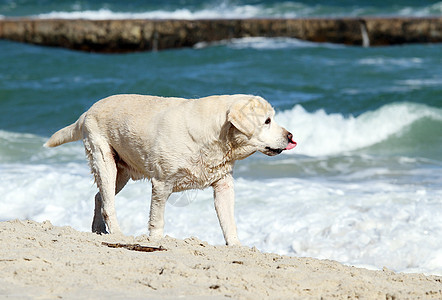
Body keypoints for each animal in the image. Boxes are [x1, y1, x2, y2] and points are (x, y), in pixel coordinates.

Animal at [45, 95, 296, 245]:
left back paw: (98, 229)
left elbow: (229, 220)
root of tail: (86, 111)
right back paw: (116, 233)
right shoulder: (162, 184)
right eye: (267, 121)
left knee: (100, 197)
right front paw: (155, 241)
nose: (291, 136)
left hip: (121, 170)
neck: (215, 136)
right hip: (103, 157)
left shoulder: (224, 185)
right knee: (108, 202)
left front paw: (236, 245)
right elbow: (157, 219)